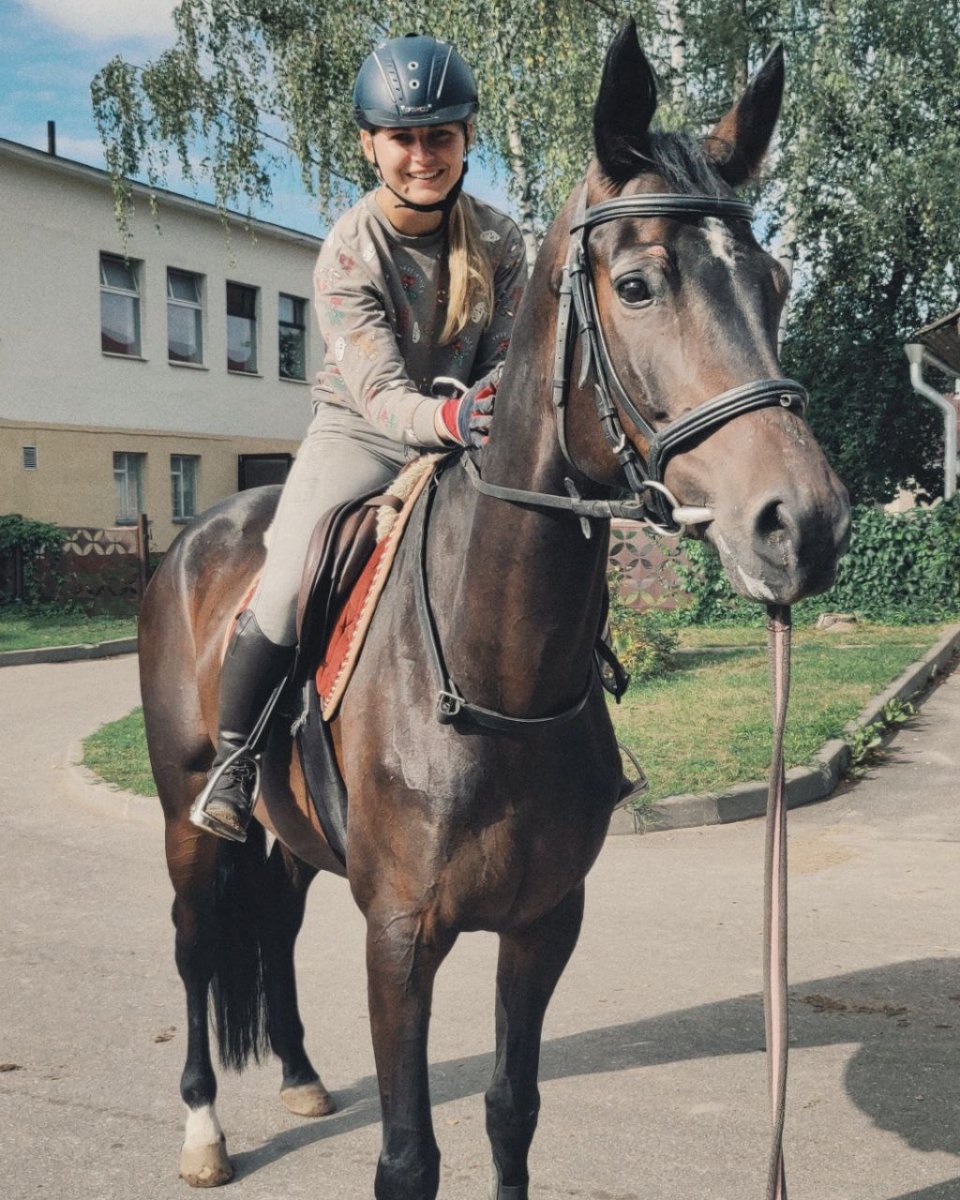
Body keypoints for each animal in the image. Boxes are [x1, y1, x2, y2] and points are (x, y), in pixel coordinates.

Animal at [136, 21, 849, 1200]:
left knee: (273, 924)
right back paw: (201, 1127)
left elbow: (513, 1111)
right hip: (188, 818)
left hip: (294, 841)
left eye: (778, 281)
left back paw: (298, 1075)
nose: (805, 523)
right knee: (196, 948)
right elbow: (409, 1157)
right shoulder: (398, 937)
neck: (491, 671)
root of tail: (193, 540)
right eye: (639, 284)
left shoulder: (544, 924)